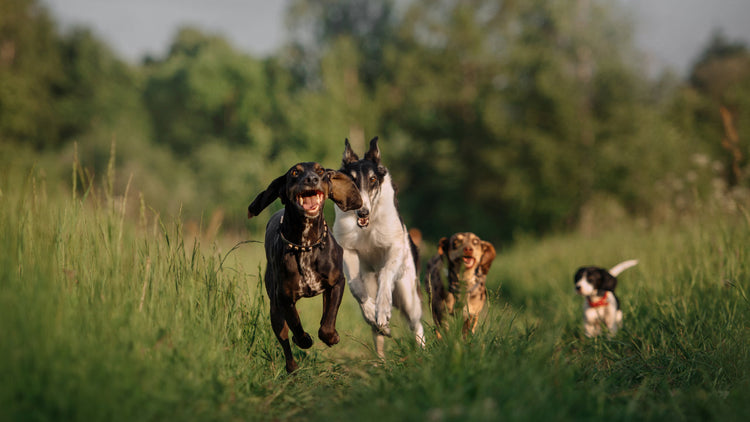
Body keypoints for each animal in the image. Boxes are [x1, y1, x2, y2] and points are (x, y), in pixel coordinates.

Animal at [248, 162, 362, 372]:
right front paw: (304, 340)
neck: (306, 244)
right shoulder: (284, 298)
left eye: (320, 171)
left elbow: (328, 321)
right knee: (284, 340)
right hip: (274, 311)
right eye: (295, 172)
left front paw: (331, 336)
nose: (311, 179)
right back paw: (292, 368)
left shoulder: (336, 283)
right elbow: (295, 325)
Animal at [334, 137, 426, 358]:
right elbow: (356, 287)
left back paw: (422, 350)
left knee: (417, 324)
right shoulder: (347, 249)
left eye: (373, 179)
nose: (362, 212)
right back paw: (381, 353)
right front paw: (371, 312)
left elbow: (385, 273)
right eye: (352, 181)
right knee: (378, 335)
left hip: (408, 293)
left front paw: (383, 309)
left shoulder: (395, 246)